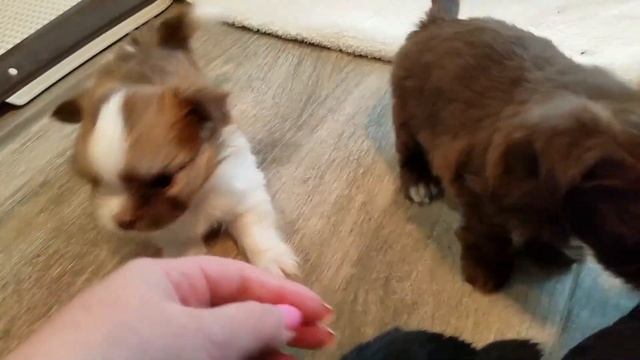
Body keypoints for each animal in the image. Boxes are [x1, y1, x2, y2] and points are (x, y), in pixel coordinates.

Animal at [51, 7, 298, 278]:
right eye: (95, 183)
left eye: (163, 181)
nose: (121, 222)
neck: (197, 196)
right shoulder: (170, 233)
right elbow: (183, 250)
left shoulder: (244, 193)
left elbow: (255, 227)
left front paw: (272, 259)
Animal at [392, 0, 640, 292]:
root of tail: (436, 23)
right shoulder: (478, 184)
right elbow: (488, 230)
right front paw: (485, 268)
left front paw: (549, 249)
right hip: (407, 111)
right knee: (408, 147)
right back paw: (419, 181)